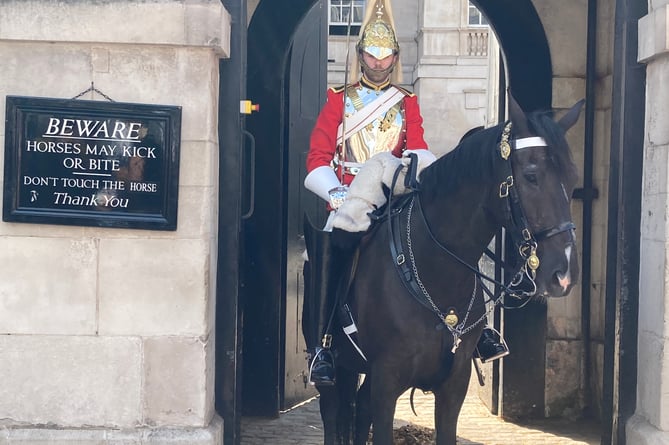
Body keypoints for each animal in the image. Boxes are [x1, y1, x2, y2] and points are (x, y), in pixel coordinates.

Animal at [306, 93, 580, 444]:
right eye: (531, 176)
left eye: (572, 178)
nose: (564, 274)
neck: (436, 272)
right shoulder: (386, 382)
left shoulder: (453, 386)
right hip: (335, 369)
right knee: (332, 412)